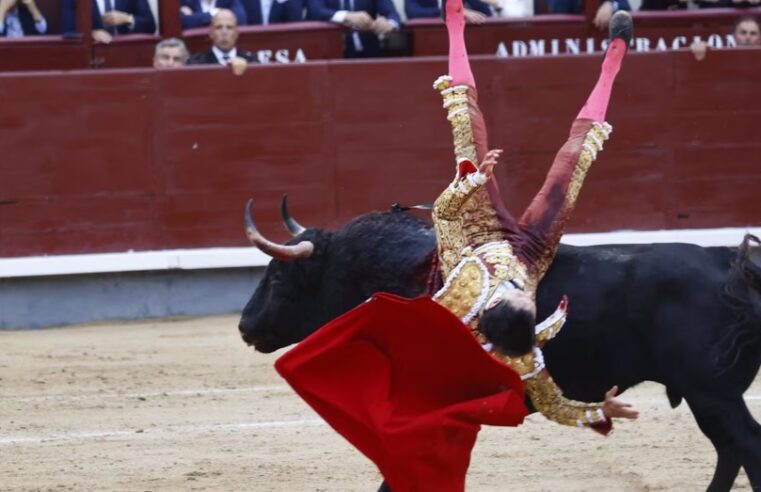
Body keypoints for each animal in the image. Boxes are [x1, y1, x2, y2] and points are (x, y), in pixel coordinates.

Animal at [240, 209, 760, 492]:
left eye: (279, 277)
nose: (245, 326)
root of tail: (729, 265)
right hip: (708, 397)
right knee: (729, 450)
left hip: (712, 393)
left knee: (744, 445)